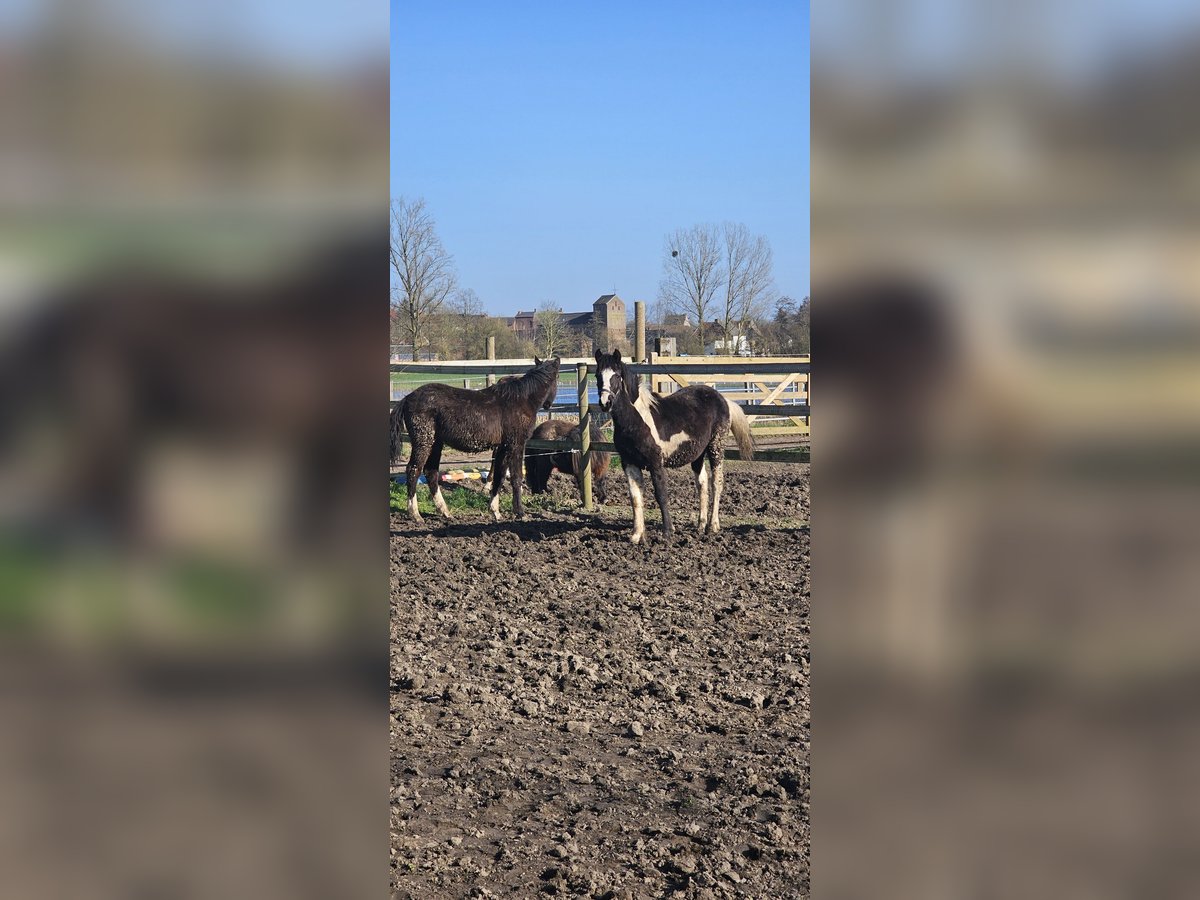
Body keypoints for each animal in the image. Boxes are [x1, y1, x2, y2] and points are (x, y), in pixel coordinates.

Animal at [393, 357, 561, 525]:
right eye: (558, 377)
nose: (548, 405)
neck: (521, 400)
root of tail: (407, 398)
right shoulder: (516, 445)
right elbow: (516, 477)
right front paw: (520, 512)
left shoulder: (502, 448)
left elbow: (499, 477)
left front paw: (495, 512)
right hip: (423, 442)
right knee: (413, 470)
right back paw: (415, 514)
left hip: (436, 444)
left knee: (431, 473)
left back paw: (446, 512)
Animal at [592, 350, 748, 547]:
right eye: (597, 375)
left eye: (617, 376)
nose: (605, 402)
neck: (635, 421)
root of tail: (723, 399)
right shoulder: (628, 463)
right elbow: (635, 497)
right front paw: (637, 535)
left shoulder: (655, 463)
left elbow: (661, 495)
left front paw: (667, 533)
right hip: (697, 455)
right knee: (702, 483)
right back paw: (700, 525)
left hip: (716, 447)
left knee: (716, 483)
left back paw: (712, 526)